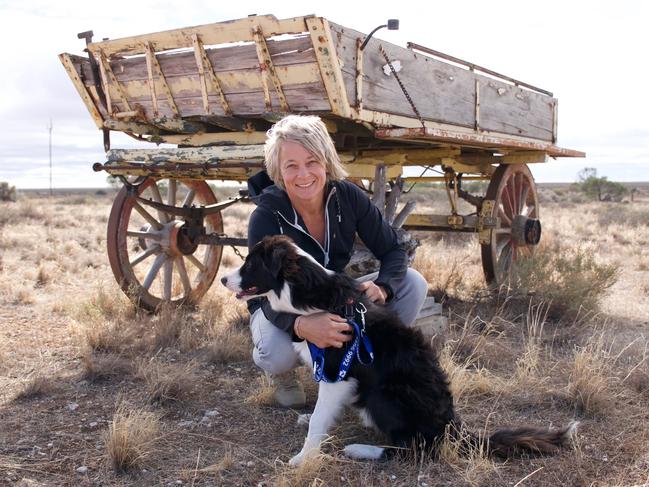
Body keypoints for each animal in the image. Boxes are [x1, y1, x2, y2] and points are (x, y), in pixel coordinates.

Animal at [221, 238, 572, 468]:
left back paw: (362, 449)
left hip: (387, 393)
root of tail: (454, 427)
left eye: (250, 263)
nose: (223, 278)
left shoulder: (338, 373)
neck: (310, 294)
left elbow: (320, 418)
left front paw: (304, 455)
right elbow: (321, 412)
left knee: (414, 448)